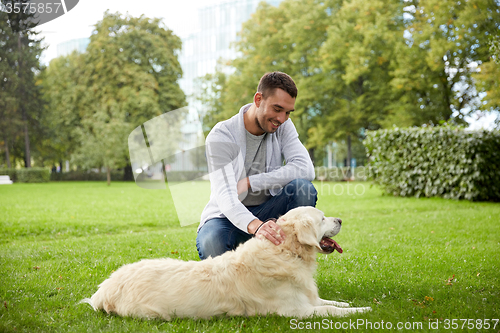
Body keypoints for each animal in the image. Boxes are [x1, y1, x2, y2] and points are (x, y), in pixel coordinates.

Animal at [81, 206, 372, 318]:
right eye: (322, 219)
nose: (340, 220)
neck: (285, 253)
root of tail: (104, 288)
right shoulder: (294, 311)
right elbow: (330, 310)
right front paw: (364, 310)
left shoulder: (307, 298)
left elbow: (329, 301)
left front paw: (349, 303)